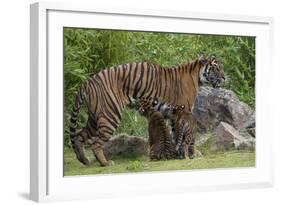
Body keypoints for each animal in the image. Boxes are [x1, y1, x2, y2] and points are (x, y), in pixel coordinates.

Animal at [69, 54, 223, 167]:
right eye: (216, 69)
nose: (224, 77)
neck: (197, 76)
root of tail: (88, 82)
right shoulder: (184, 111)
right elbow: (187, 135)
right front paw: (193, 153)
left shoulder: (174, 115)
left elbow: (176, 135)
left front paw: (178, 153)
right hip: (110, 115)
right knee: (96, 144)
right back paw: (106, 163)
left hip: (95, 118)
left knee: (78, 136)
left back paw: (84, 160)